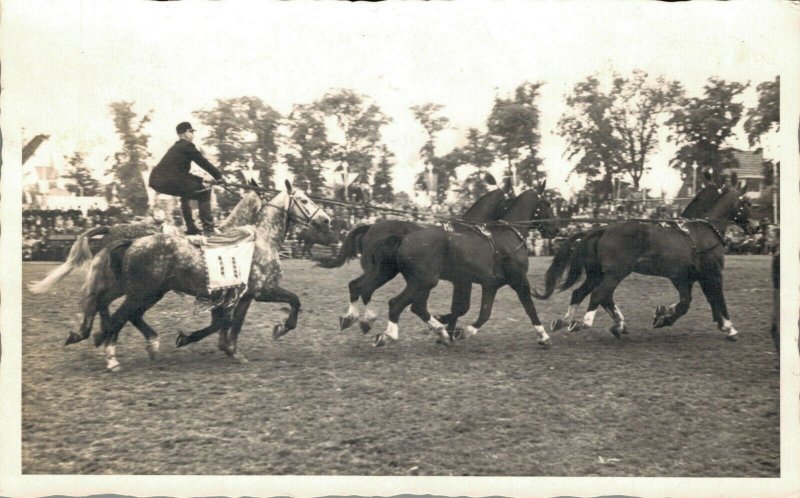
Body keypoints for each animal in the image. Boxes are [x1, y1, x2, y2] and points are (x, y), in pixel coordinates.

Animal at [536, 183, 752, 342]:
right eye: (747, 203)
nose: (755, 226)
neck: (702, 232)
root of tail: (602, 229)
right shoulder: (712, 274)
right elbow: (717, 299)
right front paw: (729, 328)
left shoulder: (685, 278)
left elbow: (688, 303)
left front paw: (663, 316)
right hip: (616, 273)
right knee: (599, 294)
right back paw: (584, 323)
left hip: (598, 274)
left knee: (583, 294)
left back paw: (572, 321)